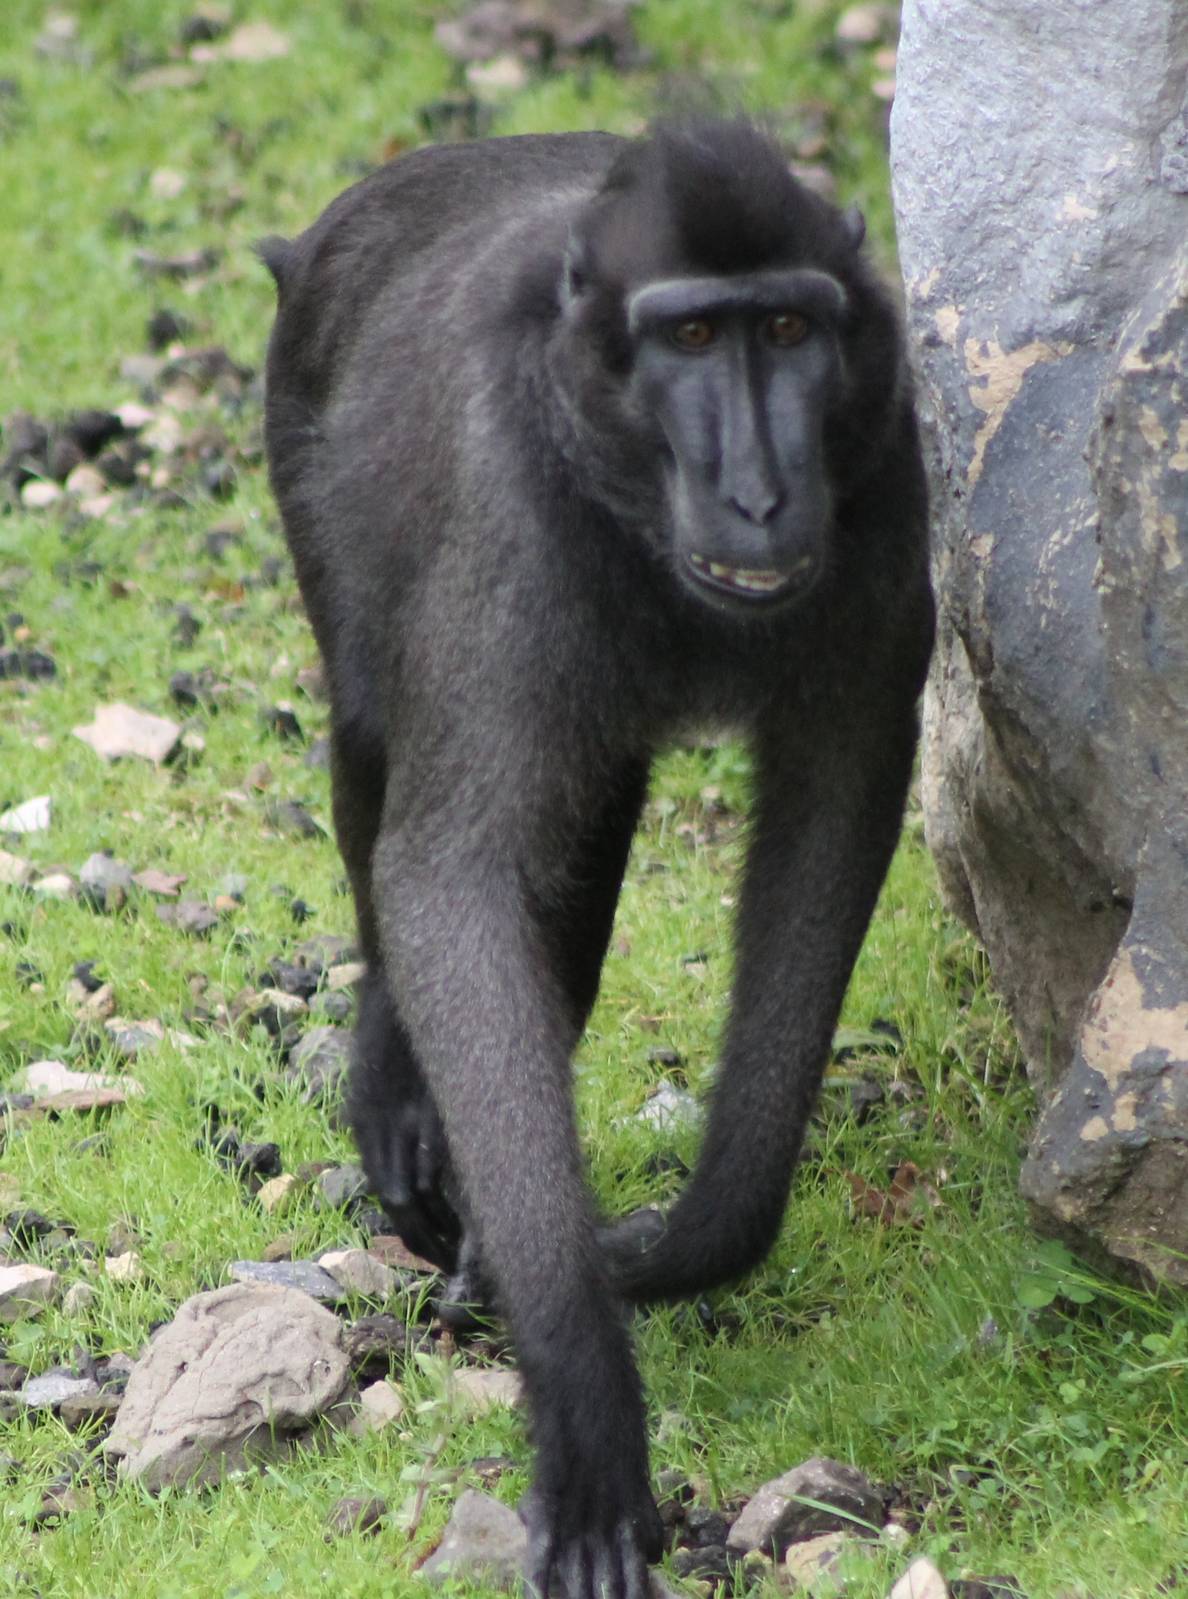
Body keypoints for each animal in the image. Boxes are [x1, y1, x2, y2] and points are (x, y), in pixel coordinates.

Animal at [262, 119, 933, 1599]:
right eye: (689, 338)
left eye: (787, 328)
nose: (760, 493)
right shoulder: (513, 522)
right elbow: (450, 879)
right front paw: (578, 1381)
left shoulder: (881, 468)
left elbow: (834, 807)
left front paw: (674, 1246)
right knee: (384, 755)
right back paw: (400, 1091)